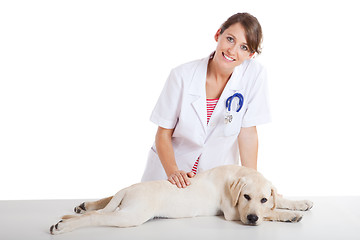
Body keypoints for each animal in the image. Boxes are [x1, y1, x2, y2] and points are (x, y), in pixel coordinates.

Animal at [50, 165, 312, 234]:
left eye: (264, 199)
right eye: (246, 197)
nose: (251, 219)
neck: (235, 174)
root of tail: (128, 190)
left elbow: (280, 200)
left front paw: (300, 204)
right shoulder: (233, 212)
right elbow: (273, 213)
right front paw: (290, 215)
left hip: (123, 205)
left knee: (101, 206)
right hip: (131, 215)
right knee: (96, 217)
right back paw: (62, 226)